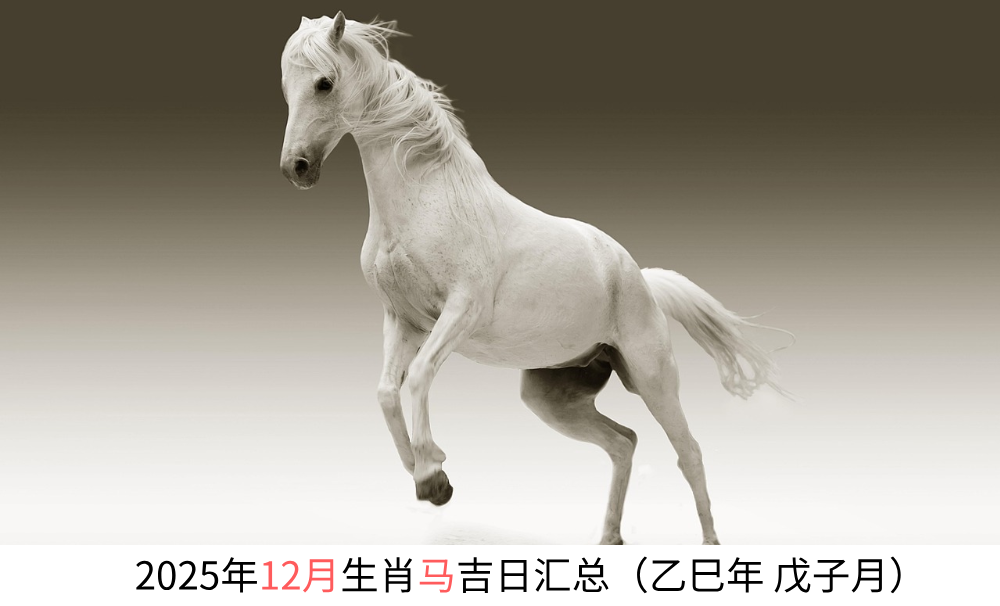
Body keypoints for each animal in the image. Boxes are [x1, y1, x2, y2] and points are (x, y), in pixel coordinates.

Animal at [278, 12, 790, 545]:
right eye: (286, 88)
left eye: (324, 83)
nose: (297, 168)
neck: (427, 198)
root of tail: (640, 279)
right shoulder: (403, 320)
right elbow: (384, 392)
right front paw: (427, 472)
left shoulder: (460, 311)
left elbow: (417, 377)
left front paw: (432, 477)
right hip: (552, 397)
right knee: (623, 442)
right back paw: (609, 537)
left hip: (652, 378)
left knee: (688, 451)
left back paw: (708, 543)